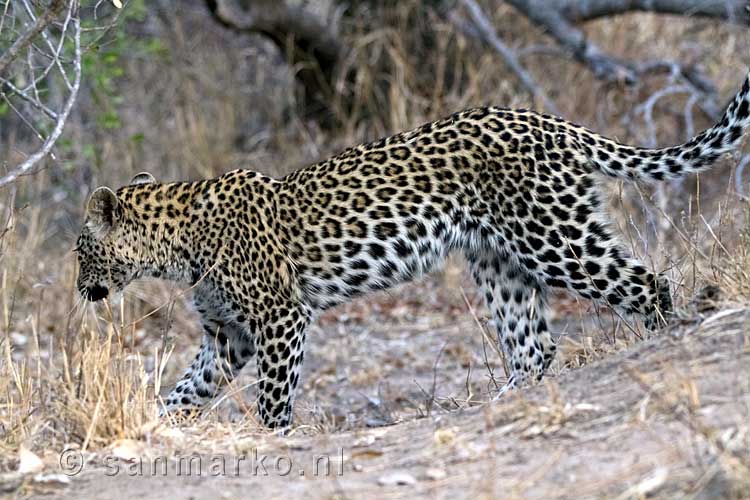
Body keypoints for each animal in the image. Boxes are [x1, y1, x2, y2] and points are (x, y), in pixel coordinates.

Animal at [76, 72, 750, 428]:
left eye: (82, 252)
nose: (81, 290)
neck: (175, 246)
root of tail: (552, 121)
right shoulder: (228, 334)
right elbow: (185, 391)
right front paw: (155, 428)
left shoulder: (279, 317)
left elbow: (273, 395)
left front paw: (272, 437)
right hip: (499, 262)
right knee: (534, 346)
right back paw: (497, 406)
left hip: (554, 237)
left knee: (649, 285)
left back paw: (663, 346)